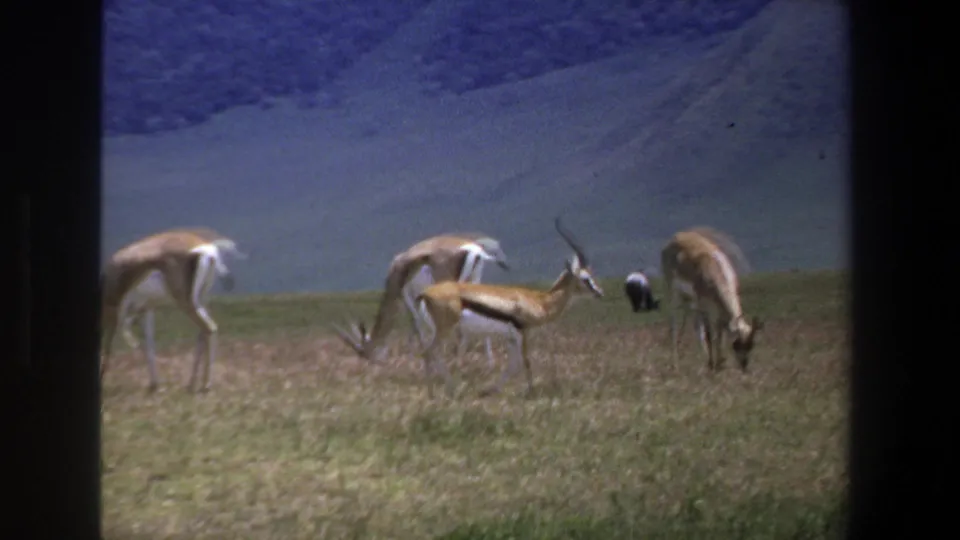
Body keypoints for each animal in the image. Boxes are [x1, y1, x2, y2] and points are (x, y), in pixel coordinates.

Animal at [101, 227, 247, 392]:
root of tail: (206, 249)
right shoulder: (146, 308)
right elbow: (149, 344)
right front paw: (154, 384)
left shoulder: (113, 311)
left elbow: (107, 347)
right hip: (199, 300)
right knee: (203, 333)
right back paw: (191, 383)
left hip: (186, 302)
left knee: (209, 328)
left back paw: (205, 385)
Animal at [333, 232, 510, 364]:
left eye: (365, 352)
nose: (374, 363)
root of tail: (474, 250)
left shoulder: (406, 295)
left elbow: (416, 322)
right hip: (474, 281)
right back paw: (487, 362)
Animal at [414, 217, 604, 398]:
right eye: (586, 278)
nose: (600, 293)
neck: (539, 301)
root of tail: (425, 293)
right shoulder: (523, 331)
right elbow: (525, 361)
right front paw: (530, 392)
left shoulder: (511, 337)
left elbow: (513, 365)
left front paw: (490, 390)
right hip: (444, 330)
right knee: (428, 352)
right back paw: (442, 392)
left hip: (439, 331)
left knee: (431, 353)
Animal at [660, 226, 763, 372]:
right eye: (737, 343)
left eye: (751, 345)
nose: (744, 367)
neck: (713, 270)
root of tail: (675, 238)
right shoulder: (704, 308)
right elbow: (709, 335)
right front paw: (712, 365)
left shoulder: (717, 310)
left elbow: (720, 336)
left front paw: (719, 364)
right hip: (675, 296)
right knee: (674, 325)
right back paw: (675, 363)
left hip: (690, 301)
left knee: (694, 326)